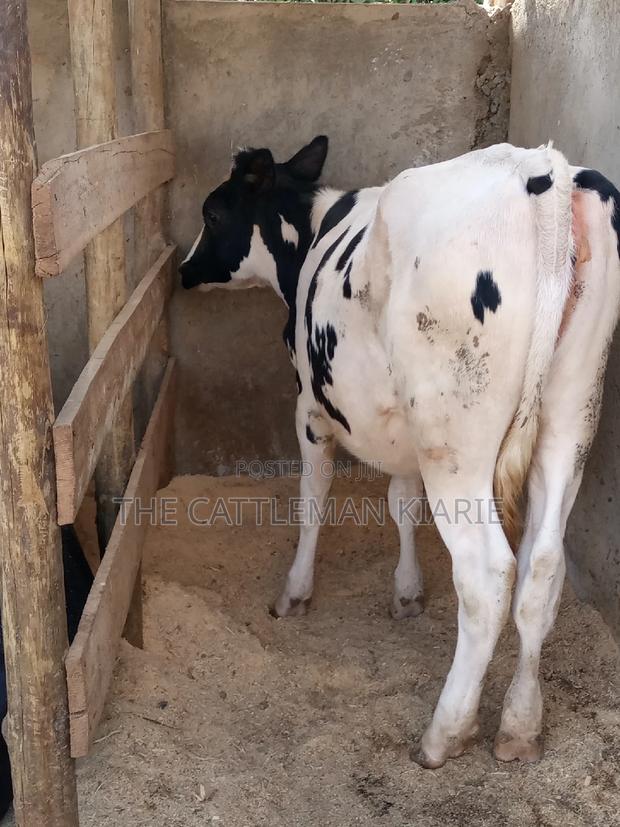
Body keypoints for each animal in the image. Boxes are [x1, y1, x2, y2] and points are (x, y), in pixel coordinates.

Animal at [179, 137, 620, 768]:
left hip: (454, 441)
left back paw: (445, 733)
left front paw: (295, 592)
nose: (182, 270)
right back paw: (520, 727)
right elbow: (402, 503)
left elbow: (313, 501)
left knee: (488, 574)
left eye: (213, 213)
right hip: (572, 411)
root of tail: (536, 165)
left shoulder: (309, 408)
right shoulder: (403, 431)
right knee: (542, 567)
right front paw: (407, 591)